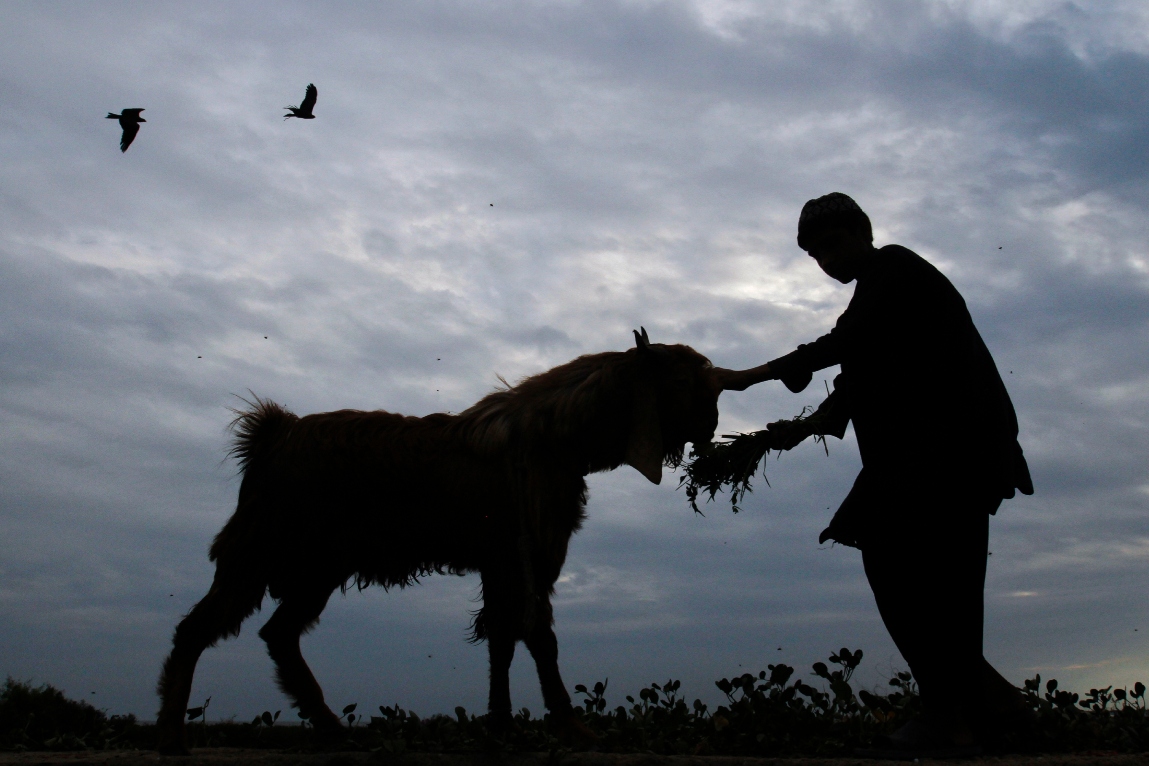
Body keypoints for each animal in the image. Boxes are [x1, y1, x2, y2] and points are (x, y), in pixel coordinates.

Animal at [155, 329, 719, 753]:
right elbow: (538, 637)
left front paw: (502, 727)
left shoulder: (502, 562)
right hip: (260, 552)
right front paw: (572, 728)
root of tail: (275, 432)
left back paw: (333, 729)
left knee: (277, 634)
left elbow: (502, 639)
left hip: (317, 567)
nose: (713, 423)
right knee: (197, 629)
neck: (556, 435)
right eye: (683, 377)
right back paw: (172, 738)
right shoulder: (525, 556)